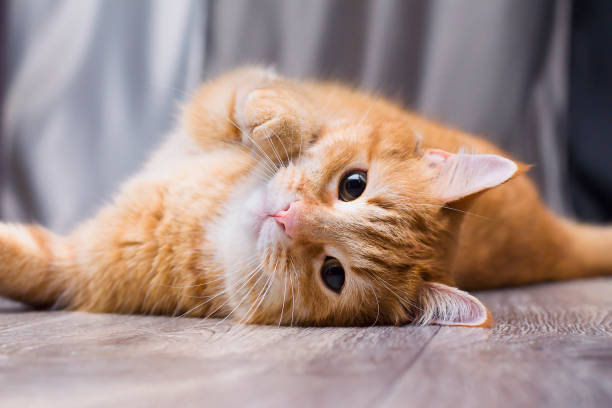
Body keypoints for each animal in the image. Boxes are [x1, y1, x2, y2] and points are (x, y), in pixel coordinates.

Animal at [1, 67, 612, 328]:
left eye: (333, 274)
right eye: (352, 185)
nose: (286, 215)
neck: (213, 216)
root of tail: (549, 232)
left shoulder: (74, 268)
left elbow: (22, 261)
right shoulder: (227, 94)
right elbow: (260, 94)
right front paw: (278, 127)